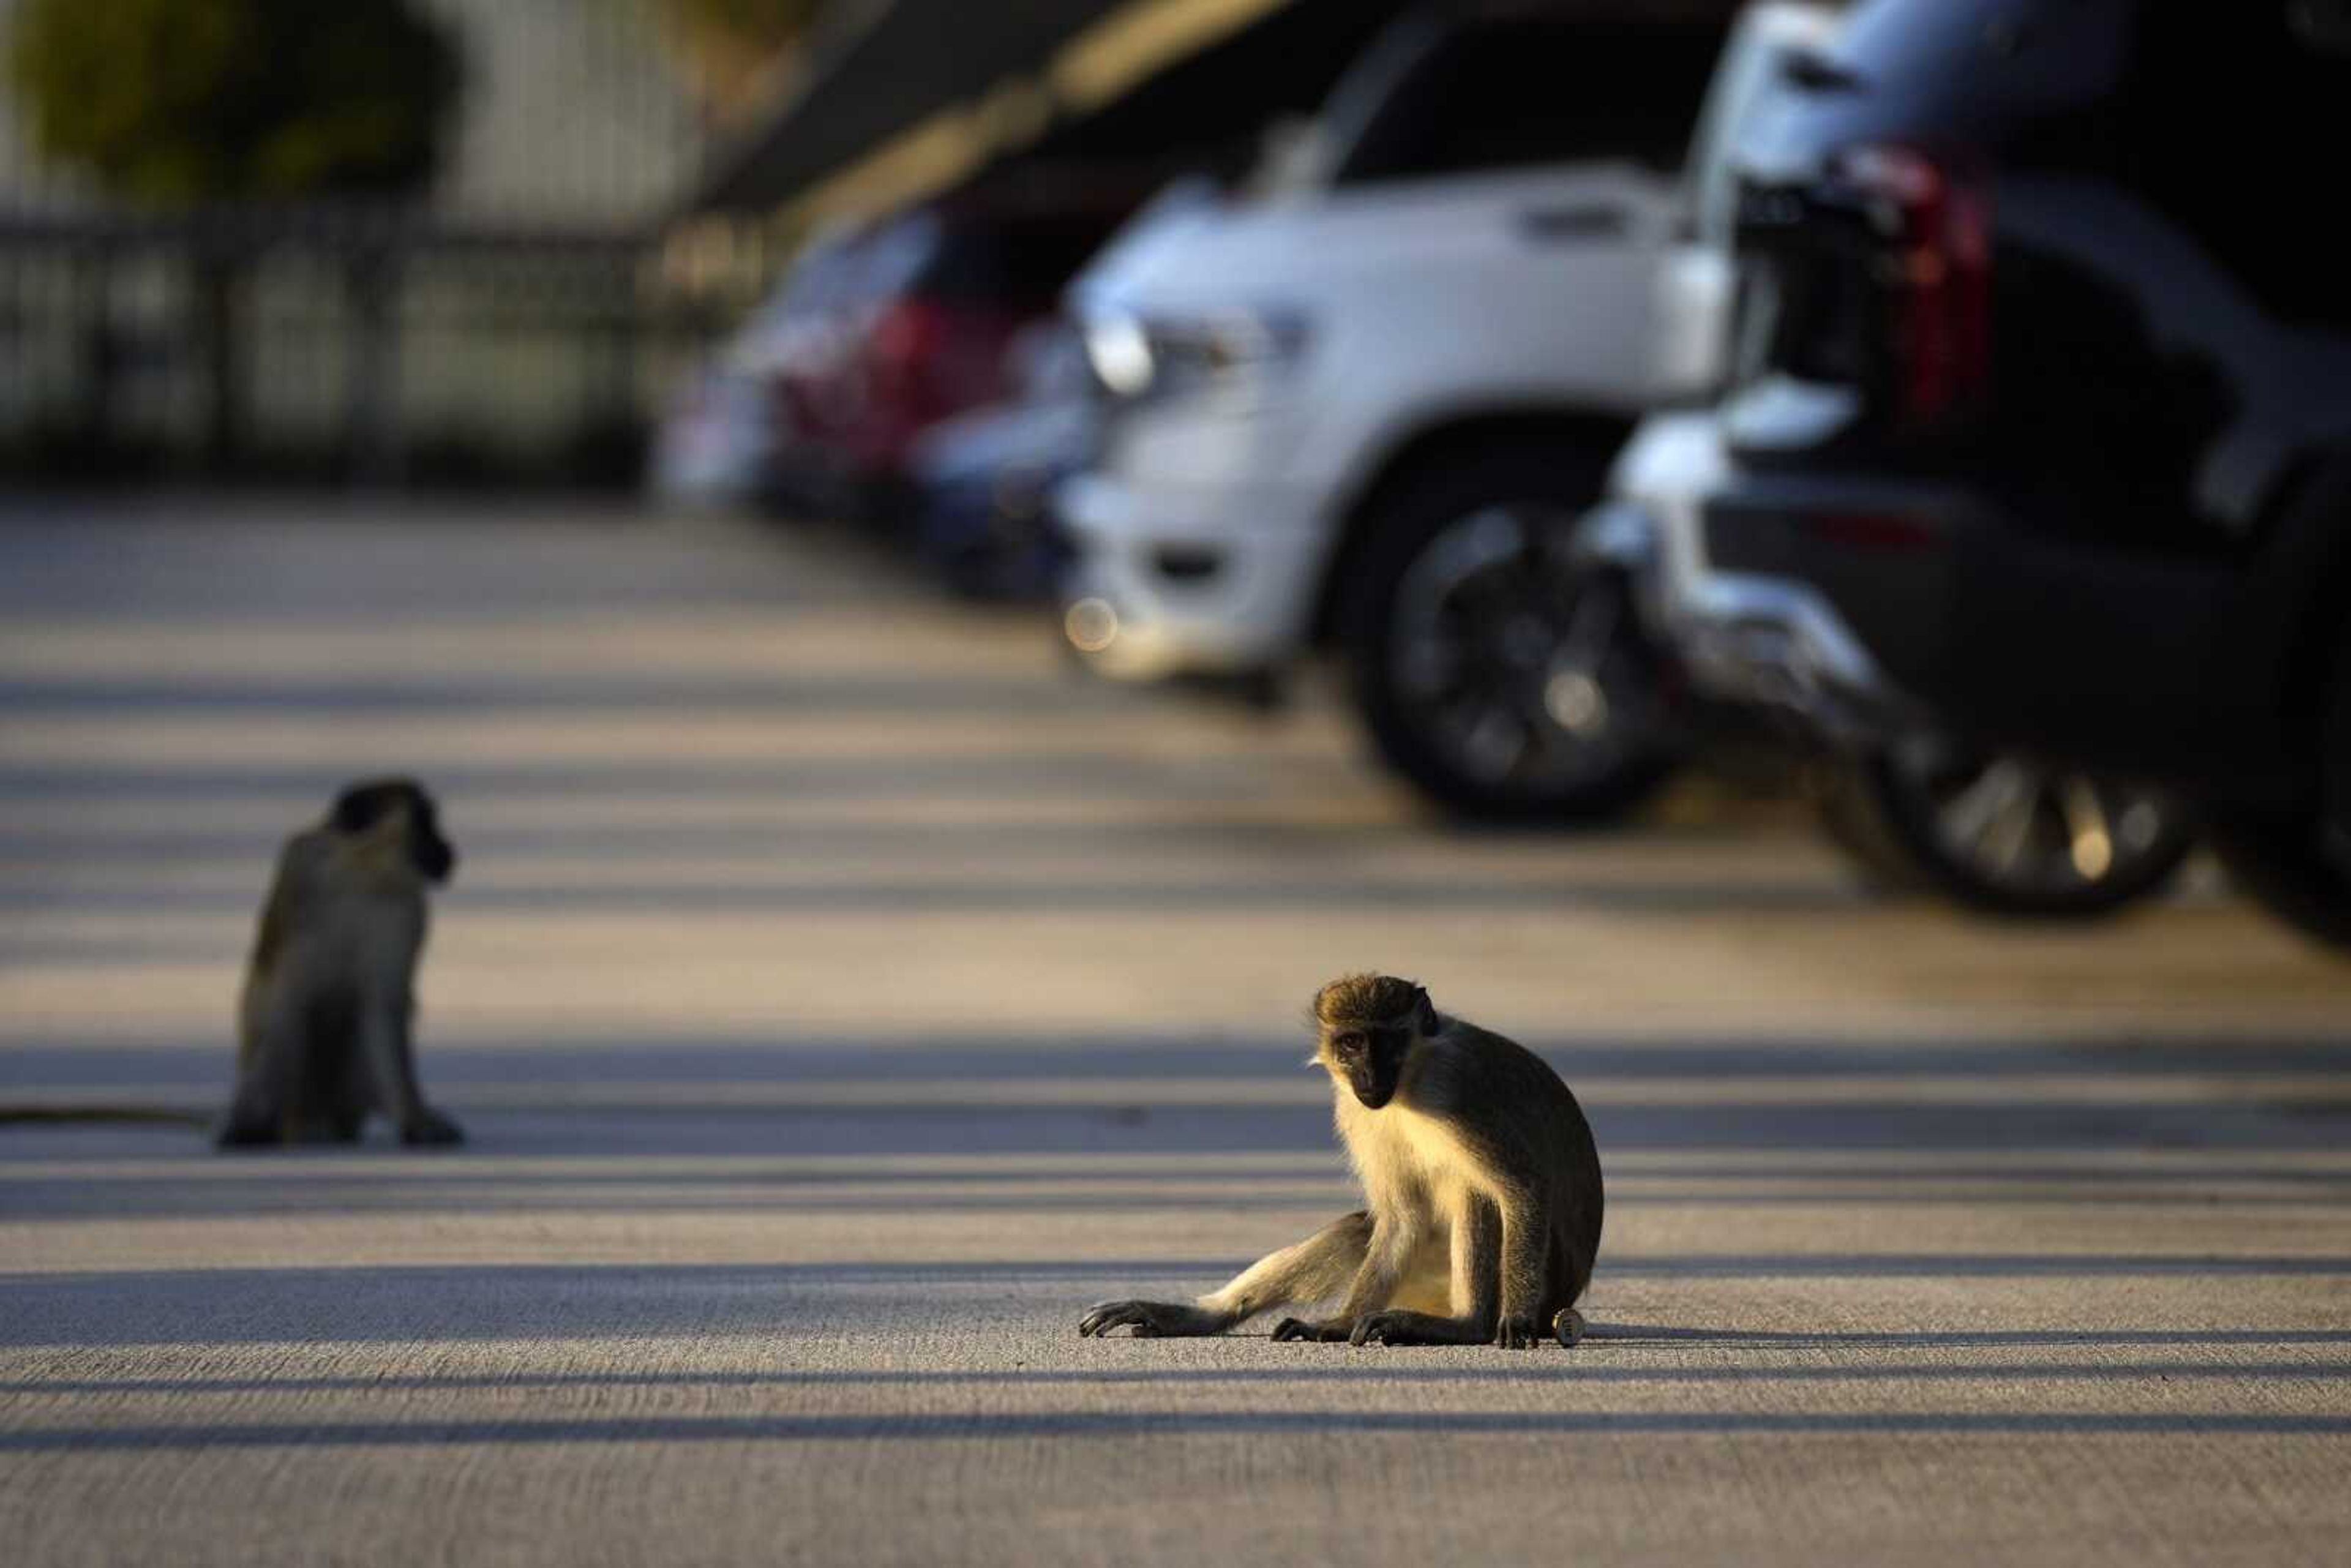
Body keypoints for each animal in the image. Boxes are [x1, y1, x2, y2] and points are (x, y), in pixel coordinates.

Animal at [222, 780, 470, 1147]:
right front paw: (251, 1122)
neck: (362, 874)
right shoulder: (301, 880)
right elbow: (286, 1004)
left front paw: (417, 1121)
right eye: (426, 823)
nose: (447, 849)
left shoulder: (407, 913)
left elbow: (385, 1003)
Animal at [1076, 968, 1599, 1354]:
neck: (1411, 1080)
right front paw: (1341, 1323)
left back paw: (1468, 1325)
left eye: (1384, 1043)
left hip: (1546, 1276)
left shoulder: (1457, 1089)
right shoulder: (1355, 1108)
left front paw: (1514, 1318)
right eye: (1350, 1044)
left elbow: (1522, 1187)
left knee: (1476, 1191)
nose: (1368, 1076)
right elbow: (1400, 1219)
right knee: (1360, 1229)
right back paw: (1200, 1315)